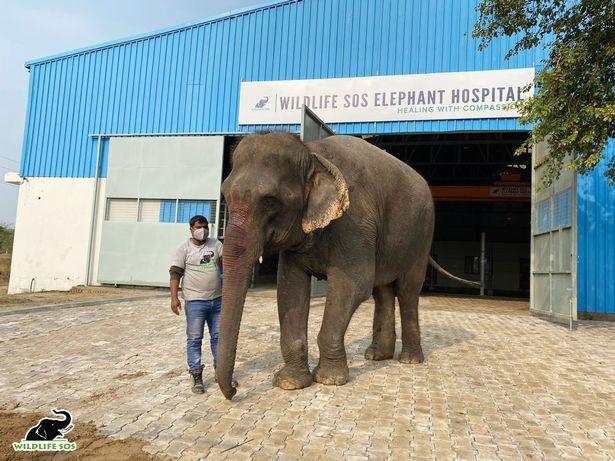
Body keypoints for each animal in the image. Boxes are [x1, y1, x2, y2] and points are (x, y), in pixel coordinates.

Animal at [219, 131, 478, 398]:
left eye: (269, 201)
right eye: (225, 195)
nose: (235, 387)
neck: (311, 152)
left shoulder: (355, 222)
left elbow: (352, 285)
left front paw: (330, 380)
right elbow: (290, 289)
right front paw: (289, 383)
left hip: (421, 236)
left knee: (407, 291)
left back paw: (409, 359)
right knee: (382, 292)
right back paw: (377, 356)